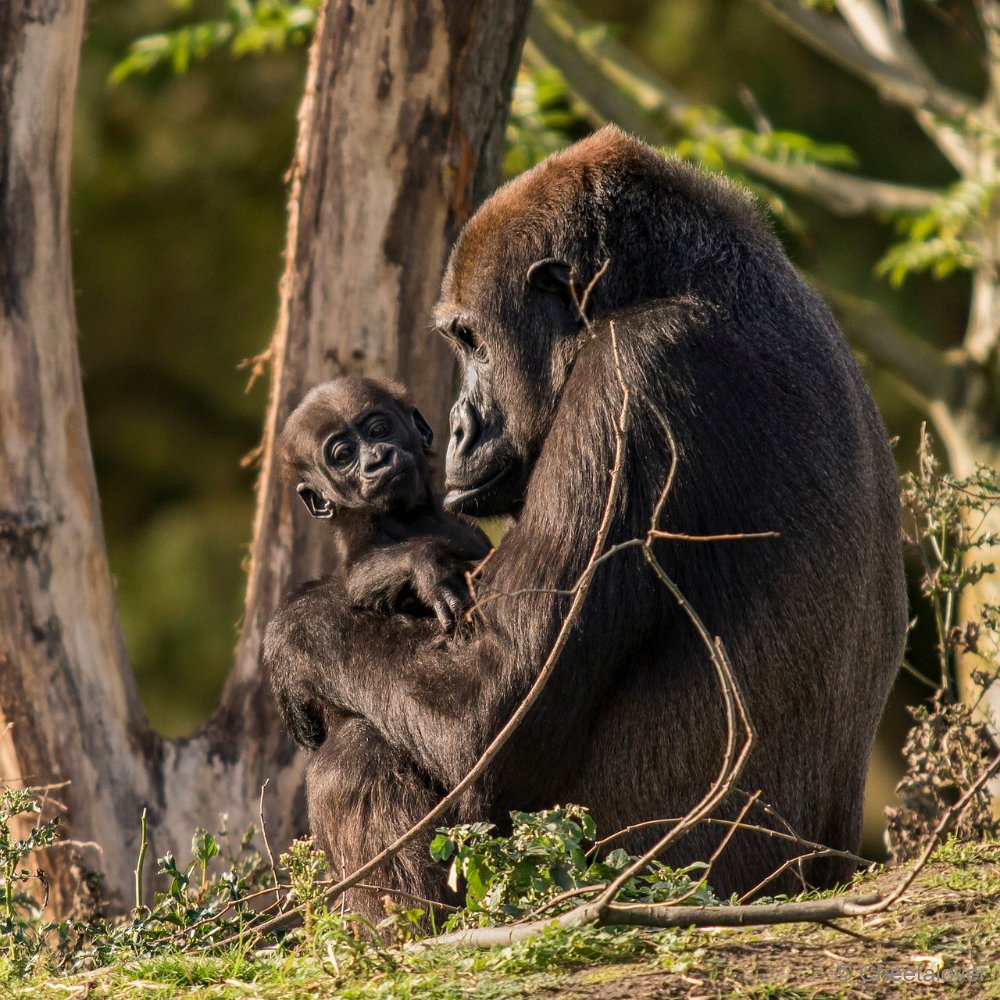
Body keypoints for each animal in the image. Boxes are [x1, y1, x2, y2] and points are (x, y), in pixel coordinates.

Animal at [268, 376, 490, 920]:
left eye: (378, 428)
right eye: (342, 456)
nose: (376, 459)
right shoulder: (362, 542)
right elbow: (361, 582)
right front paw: (424, 565)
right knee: (355, 750)